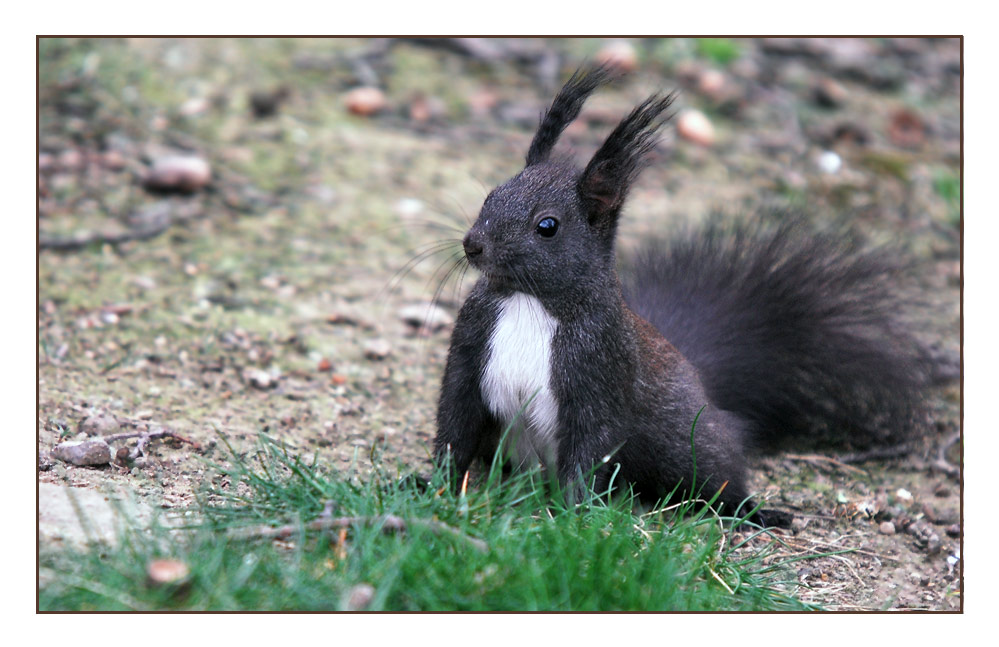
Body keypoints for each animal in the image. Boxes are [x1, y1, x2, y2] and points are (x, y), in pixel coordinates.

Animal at [432, 68, 944, 528]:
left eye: (547, 226)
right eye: (490, 196)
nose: (472, 245)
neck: (529, 300)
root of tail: (703, 386)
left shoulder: (600, 372)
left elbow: (589, 448)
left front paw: (569, 520)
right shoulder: (471, 348)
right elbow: (455, 422)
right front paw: (433, 486)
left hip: (687, 442)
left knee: (716, 475)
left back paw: (755, 511)